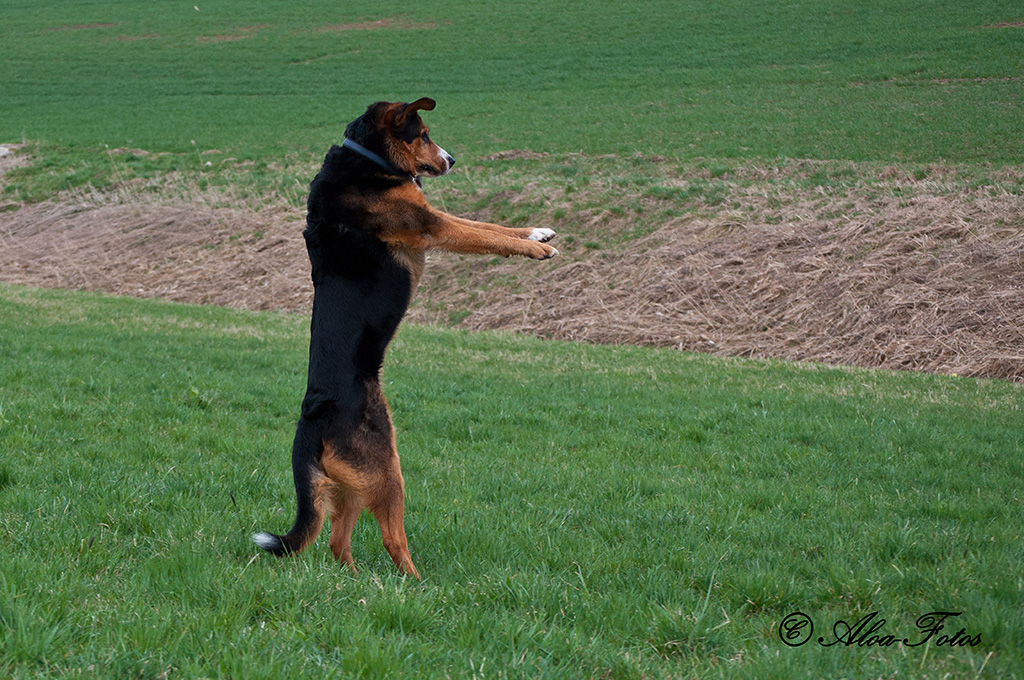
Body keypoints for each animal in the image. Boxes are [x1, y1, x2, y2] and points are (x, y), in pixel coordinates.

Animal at [256, 96, 561, 577]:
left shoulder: (430, 216)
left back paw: (359, 582)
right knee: (391, 540)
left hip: (350, 486)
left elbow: (489, 226)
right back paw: (417, 582)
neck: (367, 159)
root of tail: (311, 422)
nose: (452, 160)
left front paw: (538, 231)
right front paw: (537, 248)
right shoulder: (429, 224)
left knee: (337, 545)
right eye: (423, 135)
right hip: (386, 472)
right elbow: (484, 233)